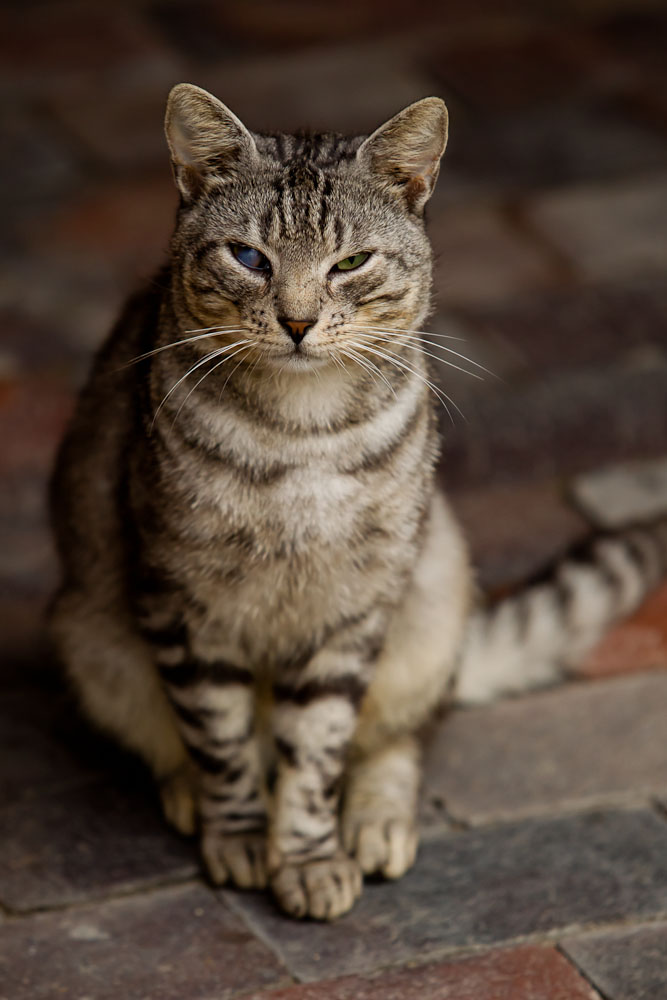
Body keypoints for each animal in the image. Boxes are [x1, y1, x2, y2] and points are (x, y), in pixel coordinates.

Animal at [48, 86, 667, 920]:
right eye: (249, 257)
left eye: (349, 263)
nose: (297, 320)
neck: (301, 435)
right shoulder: (180, 598)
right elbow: (221, 736)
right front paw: (241, 834)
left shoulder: (355, 607)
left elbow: (318, 747)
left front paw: (309, 856)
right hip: (91, 636)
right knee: (175, 734)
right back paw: (187, 795)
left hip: (433, 590)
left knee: (401, 734)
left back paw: (376, 821)